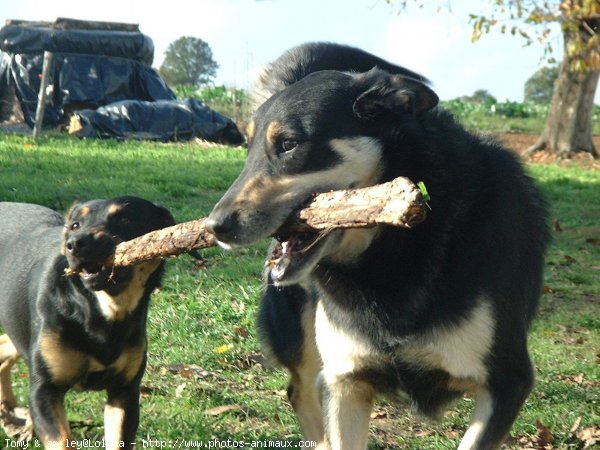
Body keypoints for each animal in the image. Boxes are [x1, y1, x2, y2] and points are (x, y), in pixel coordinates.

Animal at [0, 197, 176, 450]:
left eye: (125, 219)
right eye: (75, 225)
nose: (75, 243)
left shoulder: (125, 392)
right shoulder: (44, 391)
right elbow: (61, 440)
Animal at [206, 43, 548, 450]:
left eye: (289, 144)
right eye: (248, 147)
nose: (214, 227)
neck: (395, 248)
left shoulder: (507, 381)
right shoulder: (345, 382)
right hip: (298, 336)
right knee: (299, 390)